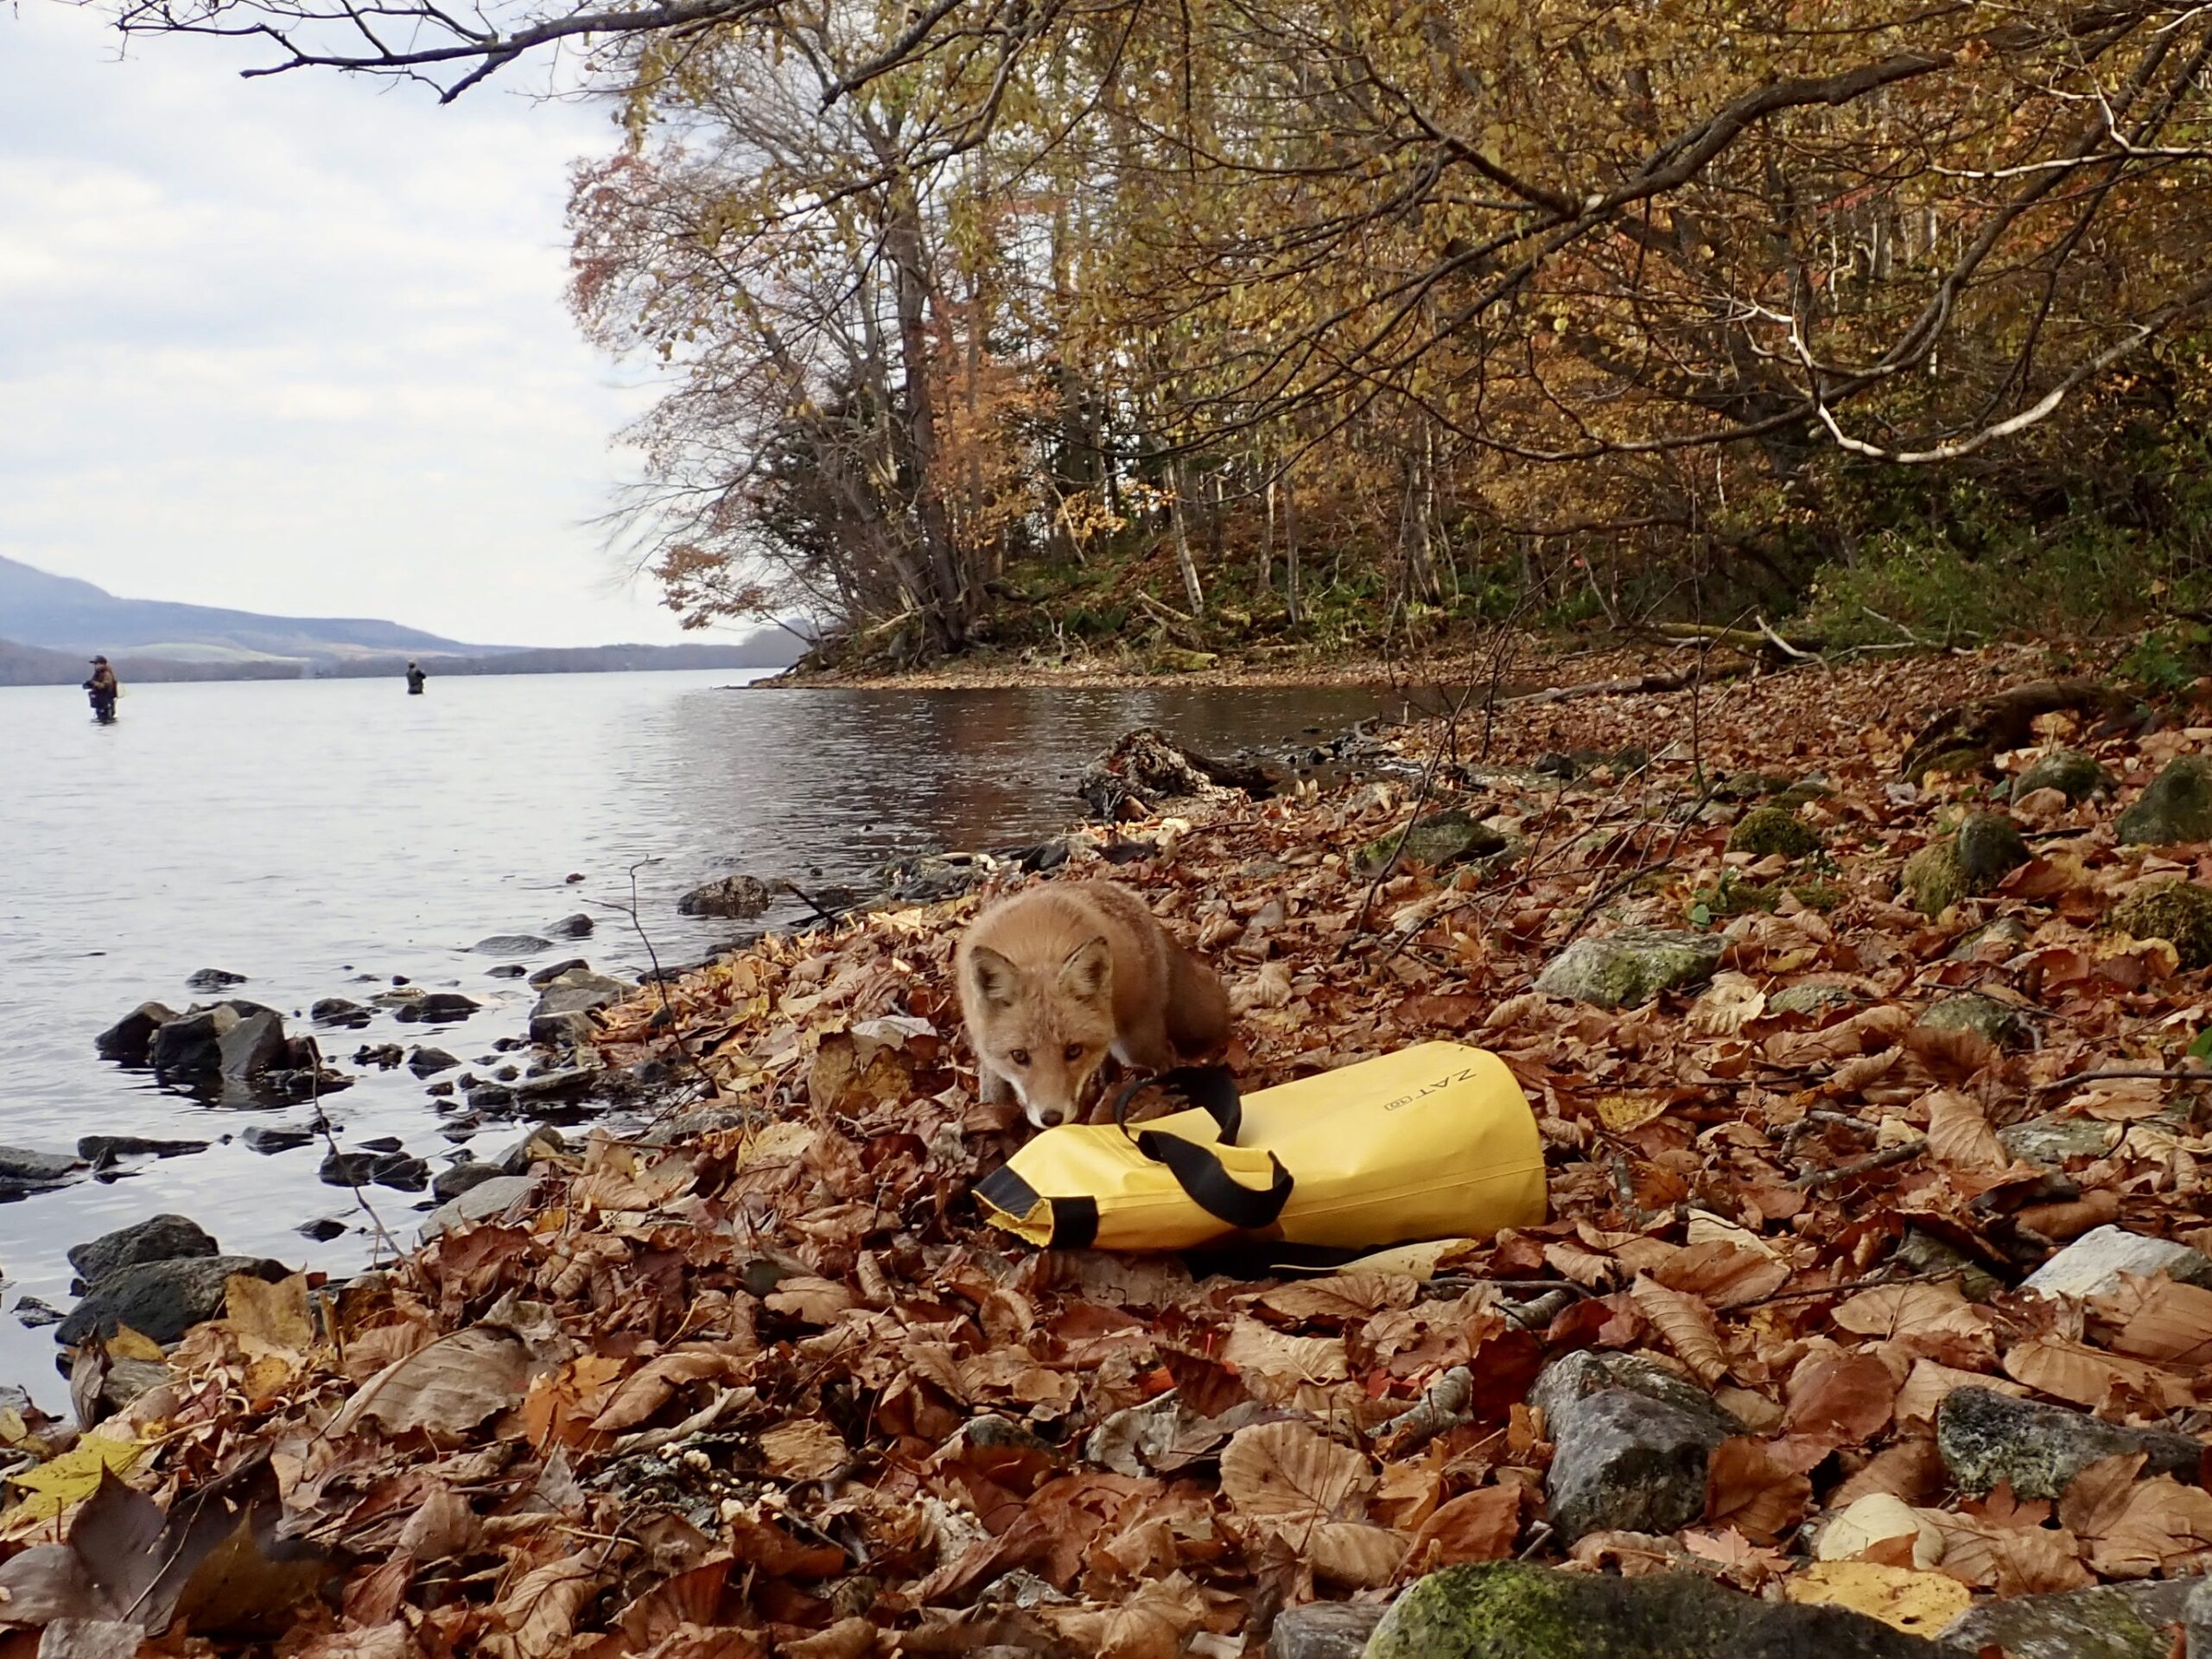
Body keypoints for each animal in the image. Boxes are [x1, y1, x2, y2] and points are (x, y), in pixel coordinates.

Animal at [960, 885, 1238, 1132]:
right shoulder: (984, 1044)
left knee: (1167, 1057)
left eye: (1073, 1051)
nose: (1052, 1118)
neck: (1035, 947)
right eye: (1019, 1056)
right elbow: (993, 1094)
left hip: (1135, 1046)